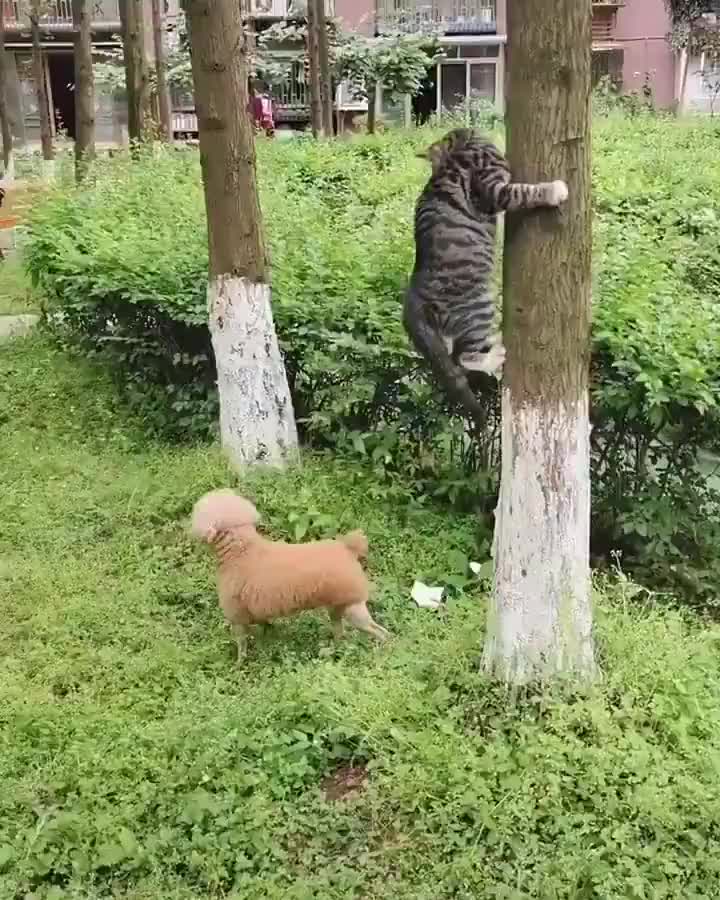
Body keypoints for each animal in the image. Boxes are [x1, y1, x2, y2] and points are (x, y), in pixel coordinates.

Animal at [190, 489, 391, 660]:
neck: (242, 551)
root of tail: (348, 548)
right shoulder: (257, 611)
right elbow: (265, 628)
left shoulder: (237, 615)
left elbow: (241, 645)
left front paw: (240, 665)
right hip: (336, 608)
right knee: (341, 634)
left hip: (352, 606)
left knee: (381, 633)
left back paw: (383, 653)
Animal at [403, 127, 569, 422]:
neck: (462, 143)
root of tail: (413, 296)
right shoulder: (494, 188)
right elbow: (525, 191)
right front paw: (555, 190)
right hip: (479, 305)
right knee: (464, 358)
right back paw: (495, 356)